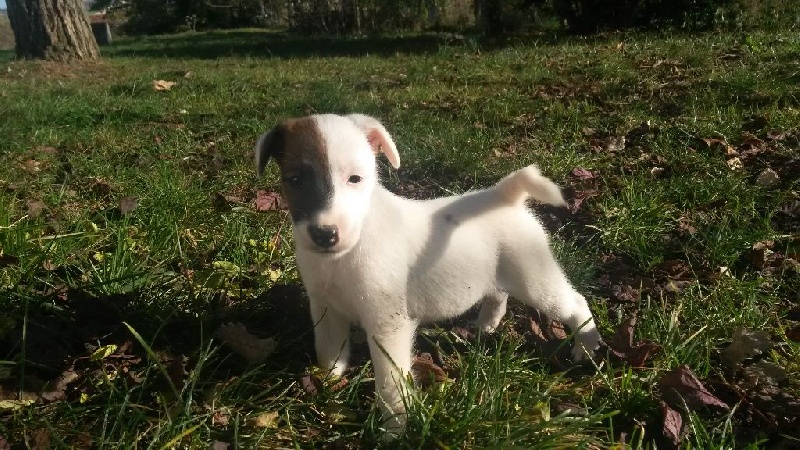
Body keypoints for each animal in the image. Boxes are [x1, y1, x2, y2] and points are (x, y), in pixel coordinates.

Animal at [255, 114, 602, 431]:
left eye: (355, 178)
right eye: (295, 180)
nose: (325, 234)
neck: (345, 255)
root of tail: (505, 195)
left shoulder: (388, 326)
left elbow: (391, 384)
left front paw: (394, 428)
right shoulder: (326, 309)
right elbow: (329, 351)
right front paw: (328, 384)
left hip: (534, 278)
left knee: (575, 304)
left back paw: (587, 347)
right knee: (497, 296)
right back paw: (485, 327)